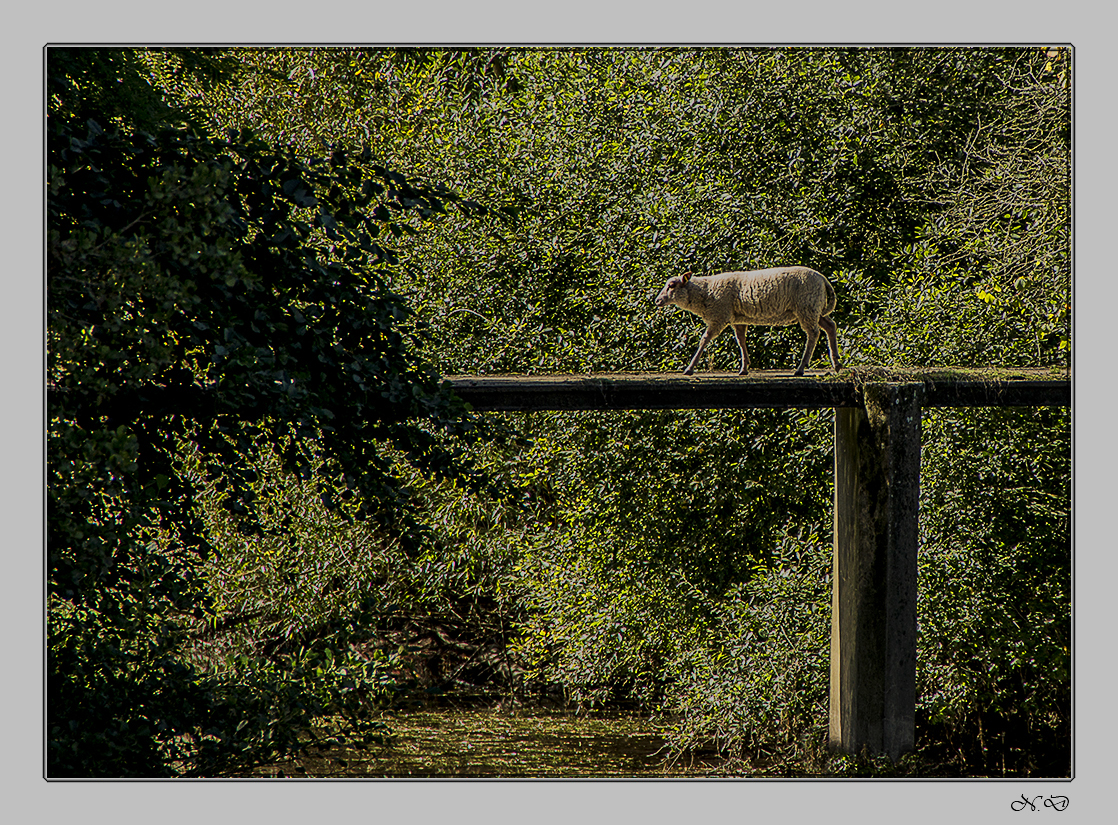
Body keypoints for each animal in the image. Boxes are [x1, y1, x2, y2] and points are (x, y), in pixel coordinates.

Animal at [652, 267, 840, 375]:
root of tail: (823, 279)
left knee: (813, 333)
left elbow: (704, 340)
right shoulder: (737, 319)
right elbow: (741, 341)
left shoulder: (719, 315)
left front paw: (690, 368)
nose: (657, 301)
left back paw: (801, 368)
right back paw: (836, 363)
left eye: (672, 286)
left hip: (806, 306)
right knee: (830, 326)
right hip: (815, 308)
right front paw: (744, 368)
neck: (704, 292)